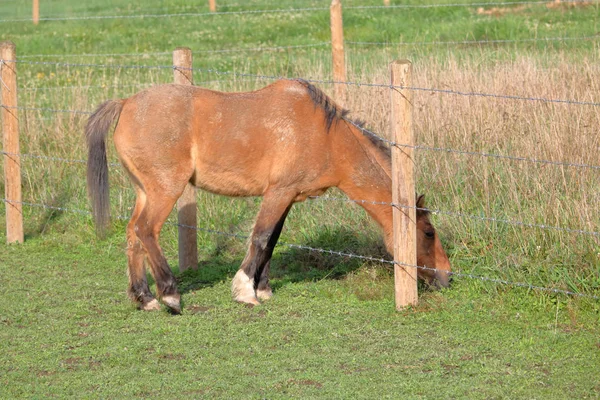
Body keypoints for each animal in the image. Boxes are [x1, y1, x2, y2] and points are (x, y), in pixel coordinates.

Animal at [85, 79, 450, 314]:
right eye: (428, 233)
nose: (447, 275)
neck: (326, 135)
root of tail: (126, 104)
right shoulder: (279, 192)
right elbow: (260, 237)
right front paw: (245, 291)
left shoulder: (288, 197)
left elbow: (271, 240)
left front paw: (263, 287)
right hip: (165, 190)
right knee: (146, 231)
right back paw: (170, 296)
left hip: (144, 192)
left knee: (132, 234)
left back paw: (143, 297)